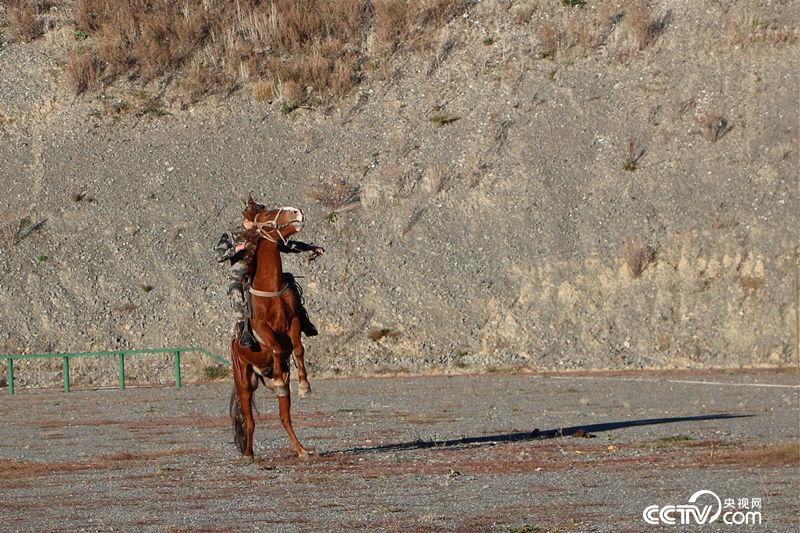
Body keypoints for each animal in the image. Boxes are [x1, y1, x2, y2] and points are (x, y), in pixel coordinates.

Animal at [229, 200, 312, 459]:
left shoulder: (293, 321)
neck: (271, 288)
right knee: (248, 418)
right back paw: (248, 453)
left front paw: (304, 385)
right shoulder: (261, 328)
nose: (297, 212)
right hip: (243, 380)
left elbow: (298, 347)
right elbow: (275, 346)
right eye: (267, 214)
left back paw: (301, 449)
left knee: (284, 416)